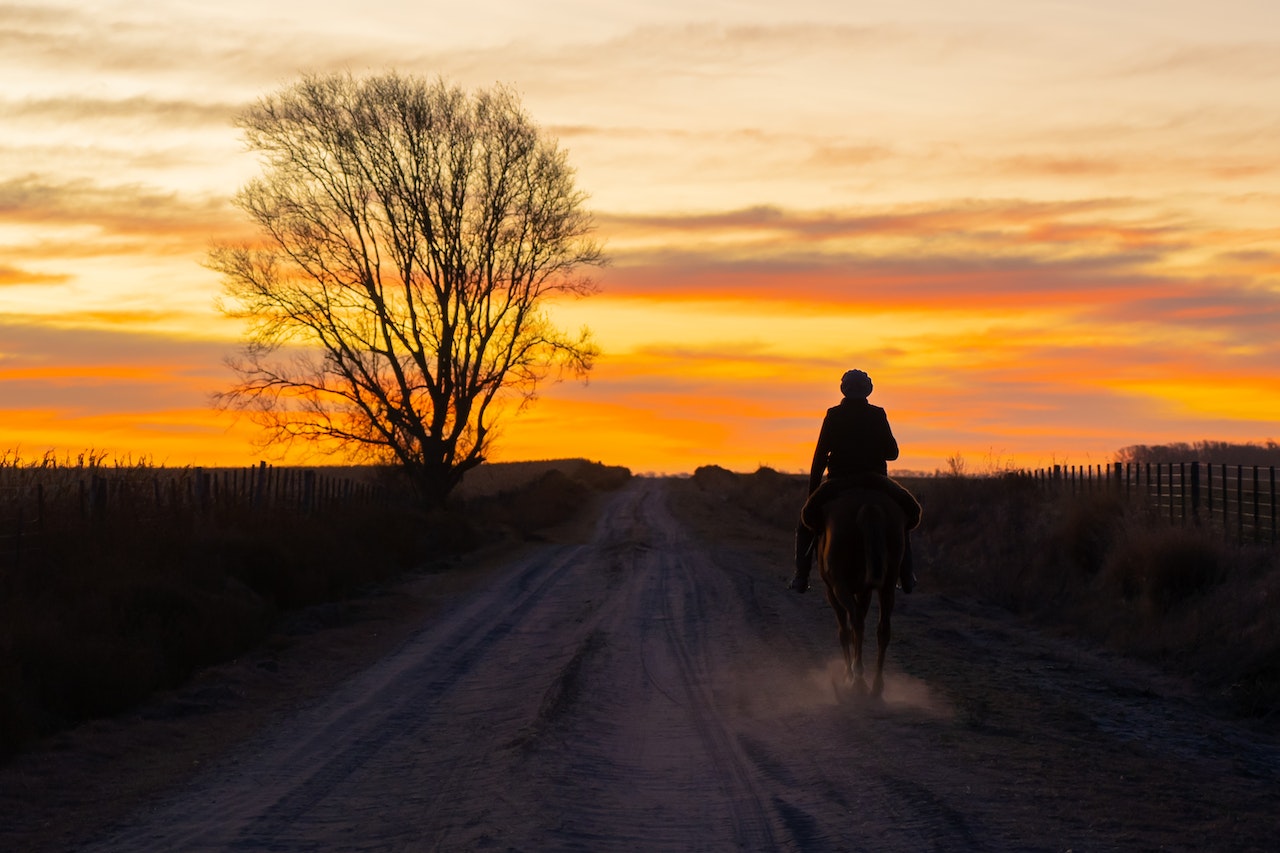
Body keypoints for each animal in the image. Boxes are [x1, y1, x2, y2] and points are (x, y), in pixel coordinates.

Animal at [814, 481, 906, 696]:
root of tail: (869, 506)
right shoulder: (864, 590)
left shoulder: (831, 590)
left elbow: (844, 631)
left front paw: (847, 674)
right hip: (888, 585)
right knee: (883, 628)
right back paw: (877, 684)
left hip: (838, 585)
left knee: (855, 621)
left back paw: (858, 678)